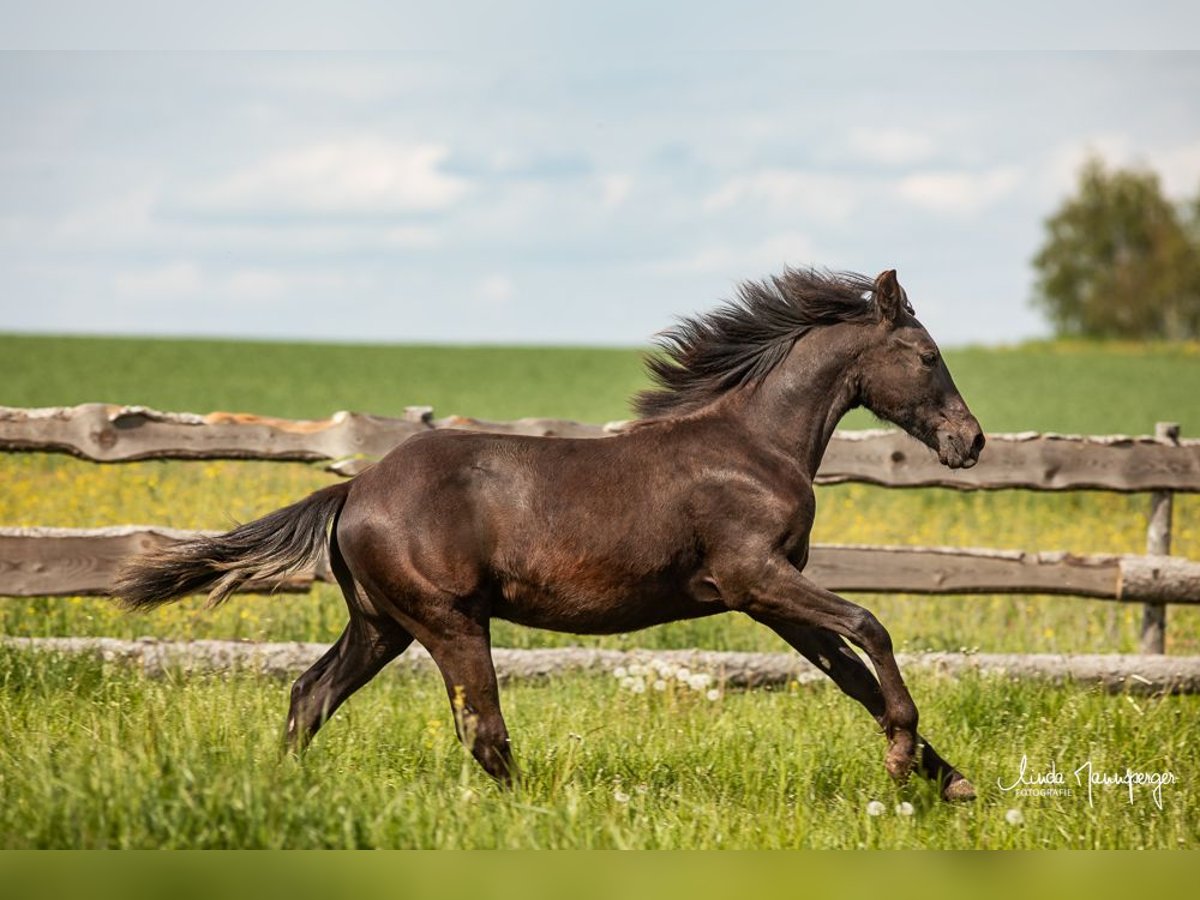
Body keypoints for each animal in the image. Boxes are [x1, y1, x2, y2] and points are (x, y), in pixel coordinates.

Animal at [117, 267, 984, 801]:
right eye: (927, 354)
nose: (969, 441)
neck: (752, 447)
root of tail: (353, 489)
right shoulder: (755, 578)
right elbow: (870, 627)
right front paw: (904, 759)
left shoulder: (769, 600)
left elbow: (853, 677)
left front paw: (950, 780)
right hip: (449, 621)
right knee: (482, 729)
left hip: (381, 625)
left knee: (310, 694)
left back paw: (281, 787)